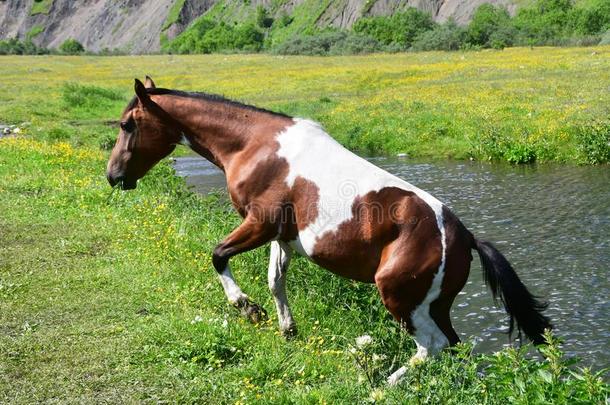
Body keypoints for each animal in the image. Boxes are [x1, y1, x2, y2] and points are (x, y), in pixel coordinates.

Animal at [107, 77, 548, 384]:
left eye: (128, 125)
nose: (113, 176)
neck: (254, 145)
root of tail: (465, 238)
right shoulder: (279, 236)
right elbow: (275, 281)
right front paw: (287, 329)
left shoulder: (258, 224)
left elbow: (218, 256)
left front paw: (247, 308)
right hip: (433, 306)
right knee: (453, 348)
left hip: (401, 300)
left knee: (431, 347)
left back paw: (380, 384)